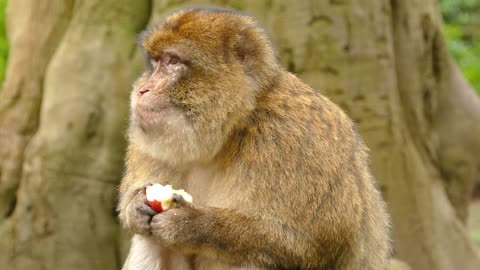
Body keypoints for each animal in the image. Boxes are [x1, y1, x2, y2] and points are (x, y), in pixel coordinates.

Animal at [118, 6, 392, 270]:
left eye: (173, 60)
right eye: (155, 63)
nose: (142, 90)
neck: (231, 131)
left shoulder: (295, 138)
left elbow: (315, 244)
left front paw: (191, 224)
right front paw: (136, 206)